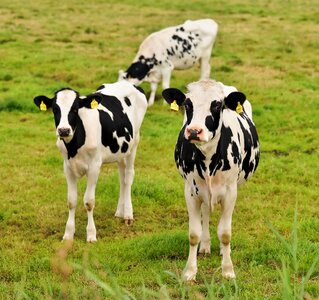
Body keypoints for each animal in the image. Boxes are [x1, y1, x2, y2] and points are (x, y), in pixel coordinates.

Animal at [33, 81, 148, 243]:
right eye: (55, 109)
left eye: (75, 109)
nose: (63, 130)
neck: (74, 146)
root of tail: (129, 83)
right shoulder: (67, 167)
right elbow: (71, 201)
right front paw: (68, 234)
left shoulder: (94, 167)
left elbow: (88, 202)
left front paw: (91, 234)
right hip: (120, 149)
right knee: (122, 178)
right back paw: (119, 211)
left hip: (134, 141)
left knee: (129, 176)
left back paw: (128, 214)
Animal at [162, 79, 260, 282]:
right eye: (187, 104)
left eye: (216, 105)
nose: (194, 131)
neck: (208, 158)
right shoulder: (190, 191)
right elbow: (193, 234)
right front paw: (190, 272)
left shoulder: (230, 192)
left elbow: (225, 233)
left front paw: (228, 270)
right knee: (206, 212)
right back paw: (206, 245)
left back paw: (222, 251)